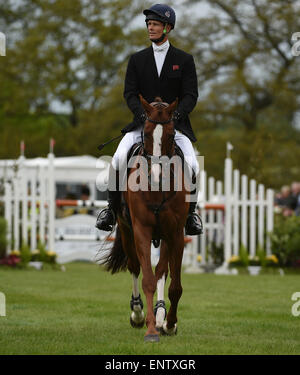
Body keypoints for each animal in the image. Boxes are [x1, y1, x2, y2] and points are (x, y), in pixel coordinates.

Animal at [101, 95, 190, 342]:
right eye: (147, 133)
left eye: (171, 133)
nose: (156, 177)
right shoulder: (141, 230)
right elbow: (147, 280)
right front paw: (150, 329)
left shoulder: (175, 234)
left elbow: (174, 285)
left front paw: (169, 323)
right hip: (127, 230)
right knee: (134, 266)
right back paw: (138, 313)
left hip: (165, 236)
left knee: (161, 271)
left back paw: (160, 315)